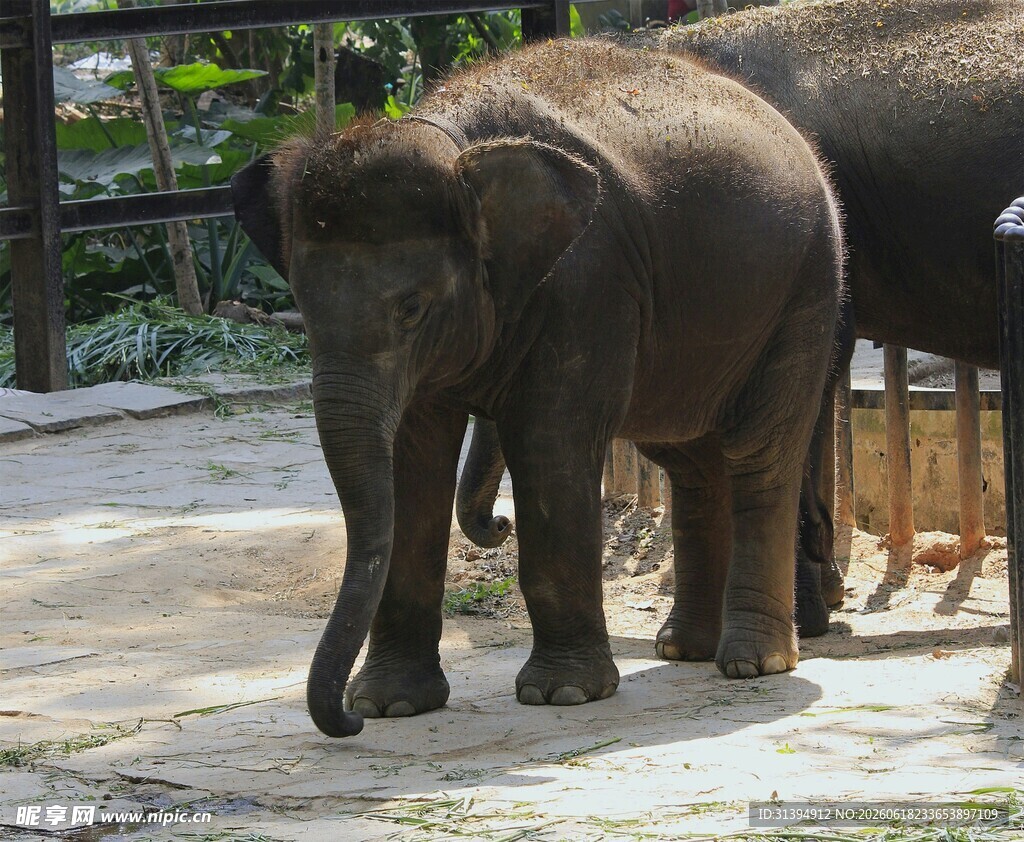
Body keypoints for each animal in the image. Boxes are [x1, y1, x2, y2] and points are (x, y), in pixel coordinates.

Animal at [232, 38, 844, 738]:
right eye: (301, 311)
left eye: (411, 309)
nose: (345, 722)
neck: (455, 150)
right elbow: (411, 461)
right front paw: (389, 705)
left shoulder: (588, 282)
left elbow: (549, 446)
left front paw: (564, 695)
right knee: (687, 458)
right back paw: (682, 648)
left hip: (808, 288)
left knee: (758, 452)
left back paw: (752, 664)